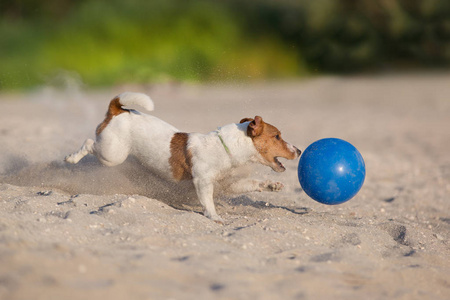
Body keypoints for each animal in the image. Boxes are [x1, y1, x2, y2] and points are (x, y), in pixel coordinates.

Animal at [65, 92, 300, 221]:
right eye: (277, 136)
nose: (298, 150)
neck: (224, 147)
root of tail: (119, 111)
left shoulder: (229, 184)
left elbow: (253, 183)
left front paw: (272, 185)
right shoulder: (203, 182)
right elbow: (207, 202)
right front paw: (215, 217)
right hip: (112, 155)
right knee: (88, 143)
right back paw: (71, 158)